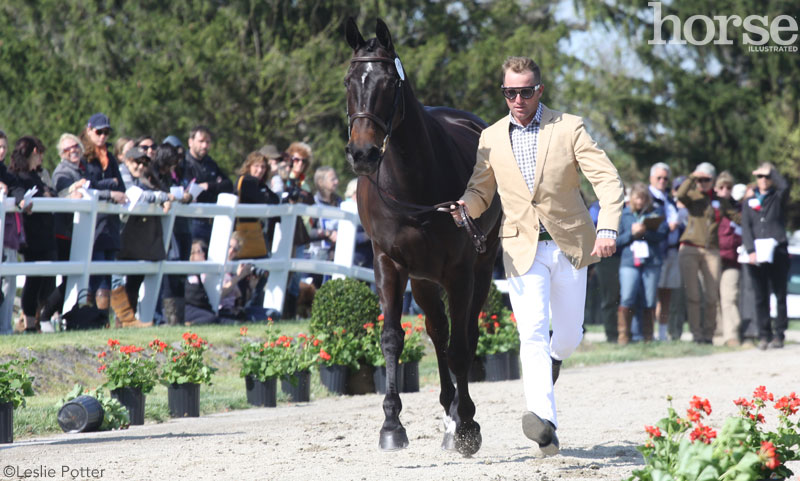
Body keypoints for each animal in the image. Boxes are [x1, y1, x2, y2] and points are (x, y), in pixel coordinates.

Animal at [344, 18, 502, 456]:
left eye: (388, 83)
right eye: (349, 81)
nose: (362, 153)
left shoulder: (462, 271)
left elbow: (463, 347)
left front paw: (468, 426)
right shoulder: (389, 264)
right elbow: (392, 339)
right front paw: (391, 425)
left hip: (480, 268)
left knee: (464, 334)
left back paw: (460, 416)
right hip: (424, 279)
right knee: (438, 331)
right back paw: (448, 411)